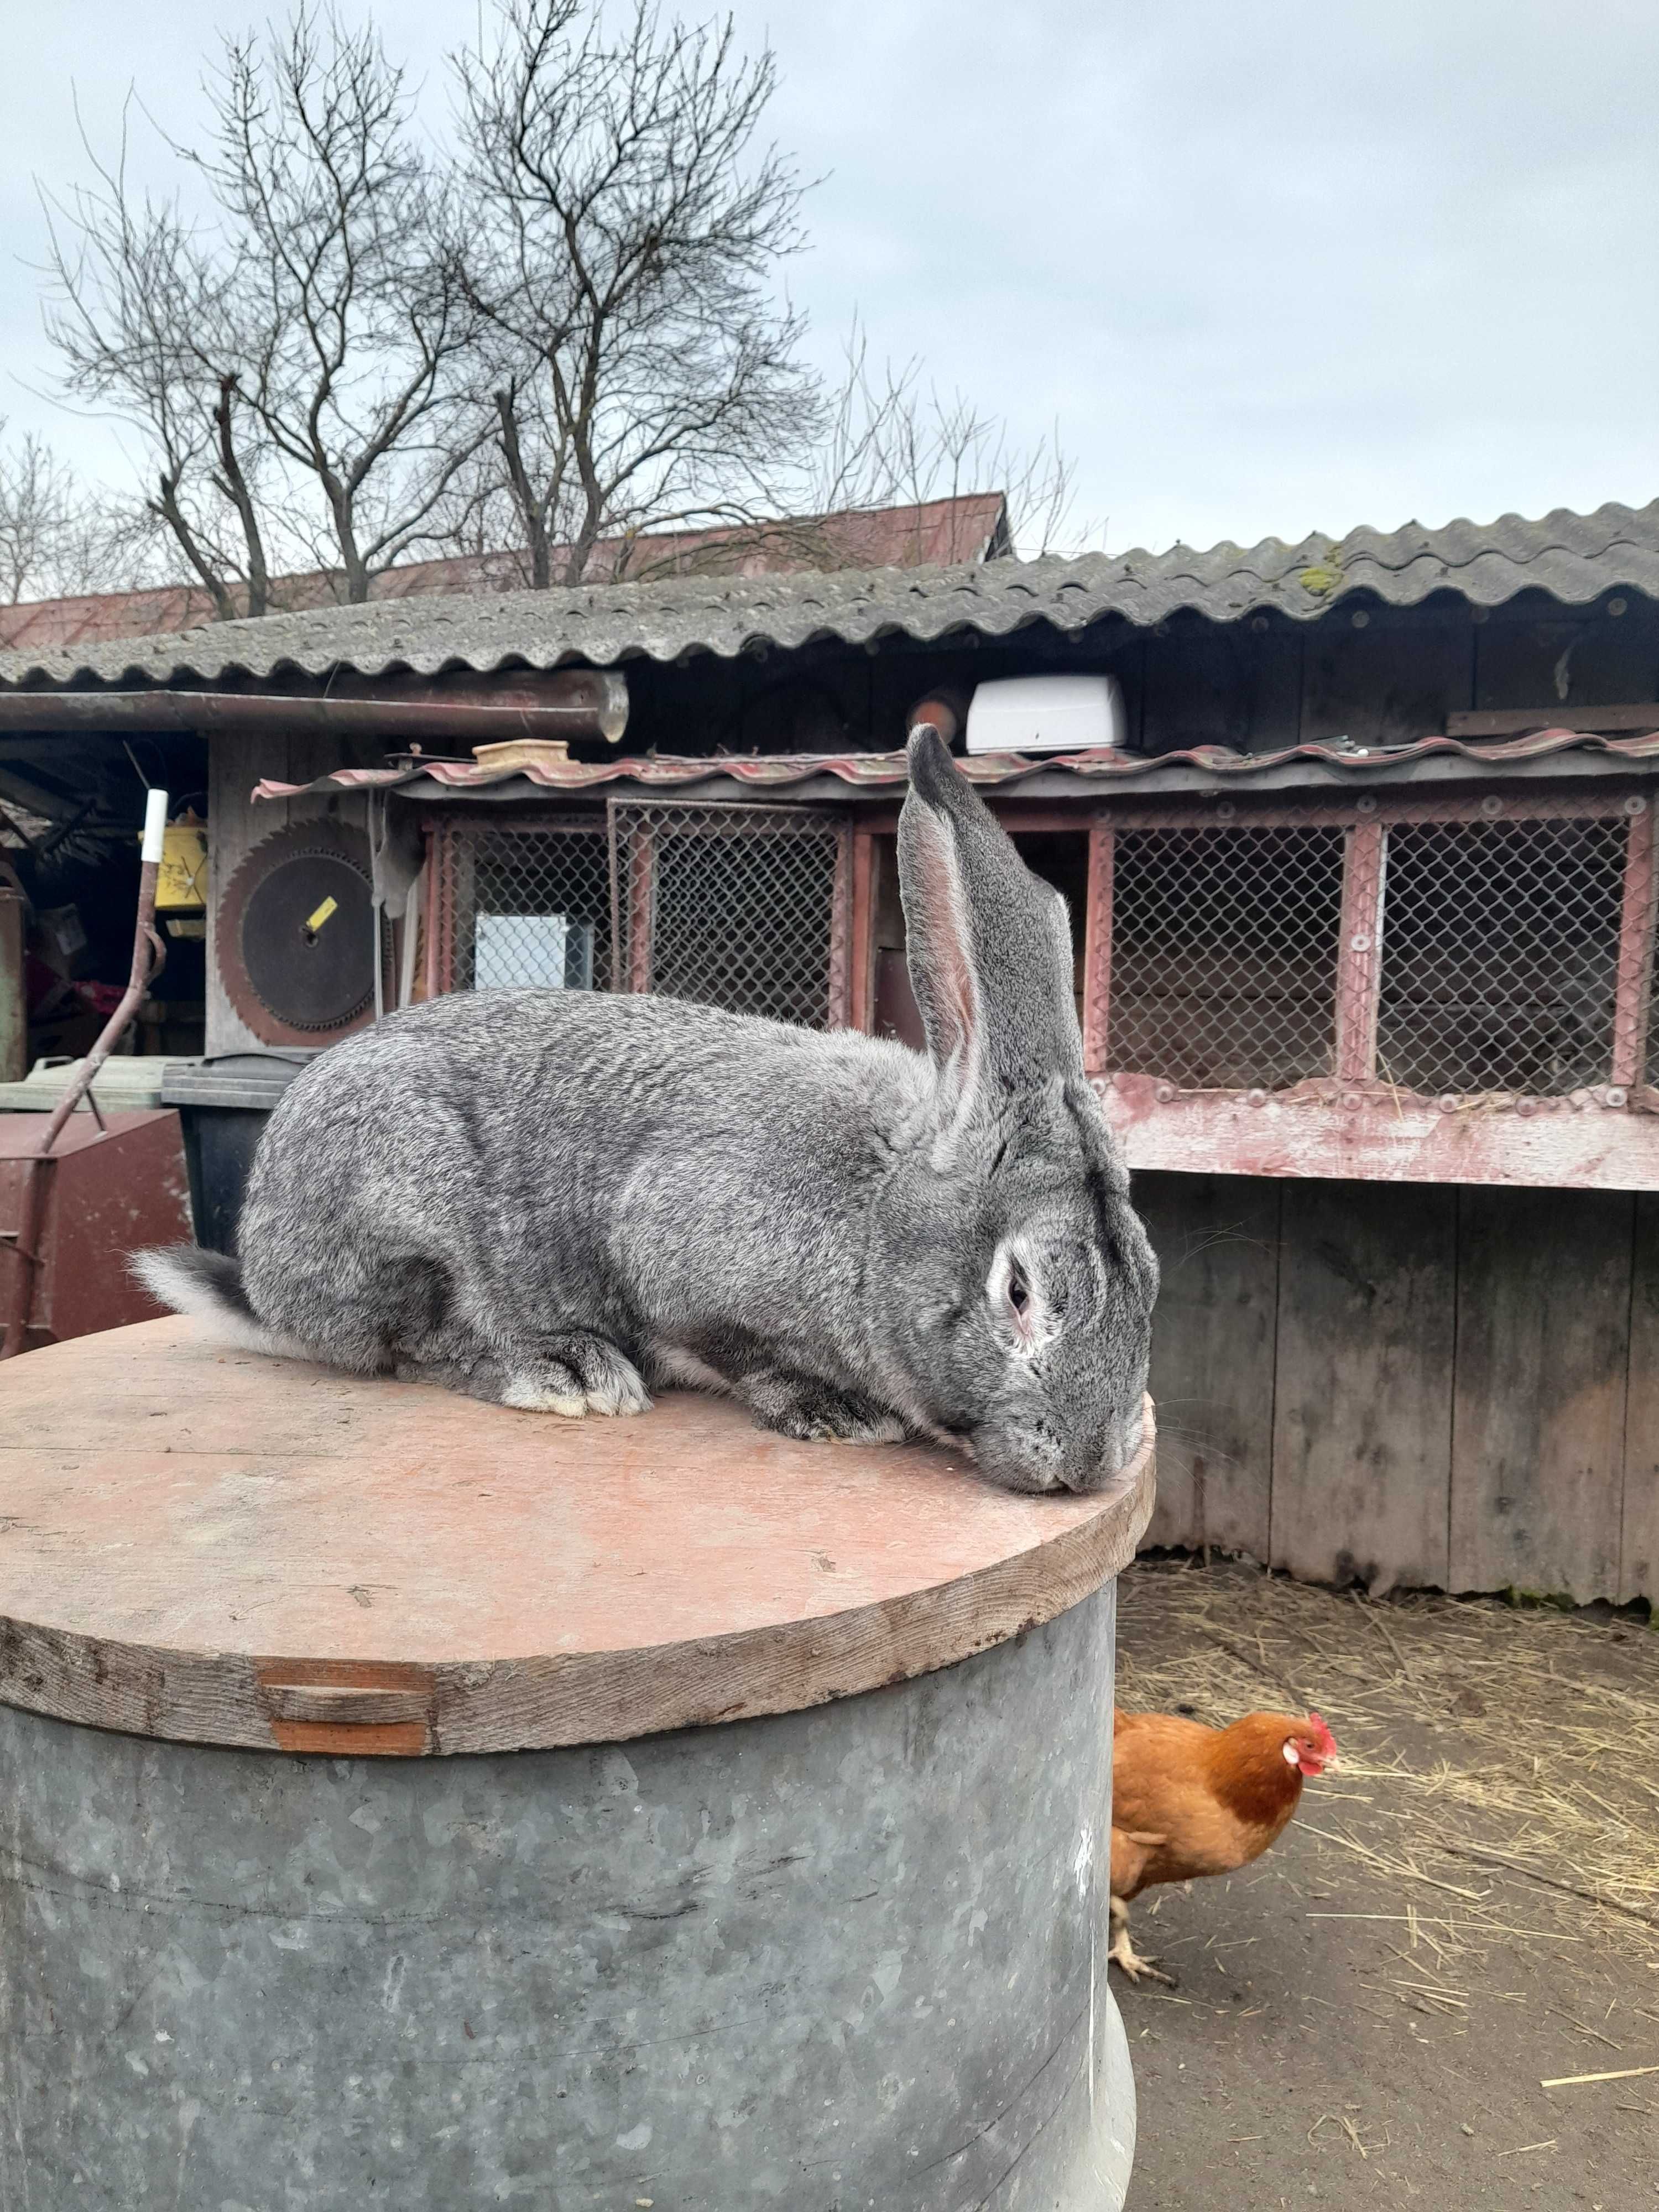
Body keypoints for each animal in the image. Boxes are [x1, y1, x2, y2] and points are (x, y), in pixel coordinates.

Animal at [140, 734, 1159, 1495]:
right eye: (1019, 1292)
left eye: (1149, 1281)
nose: (1092, 1461)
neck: (876, 1209)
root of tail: (264, 1271)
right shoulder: (673, 1257)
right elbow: (736, 1352)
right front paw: (835, 1414)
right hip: (401, 1212)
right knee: (415, 1349)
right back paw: (565, 1373)